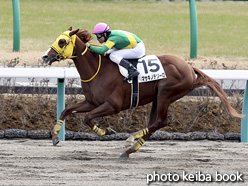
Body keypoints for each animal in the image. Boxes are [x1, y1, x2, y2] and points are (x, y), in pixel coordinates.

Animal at [41, 28, 241, 158]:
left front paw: (107, 131)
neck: (97, 70)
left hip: (166, 93)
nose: (45, 56)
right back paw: (131, 148)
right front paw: (55, 137)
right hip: (158, 97)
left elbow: (87, 118)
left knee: (160, 122)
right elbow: (66, 110)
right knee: (154, 123)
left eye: (62, 41)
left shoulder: (112, 105)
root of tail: (190, 68)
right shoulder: (92, 102)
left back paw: (131, 139)